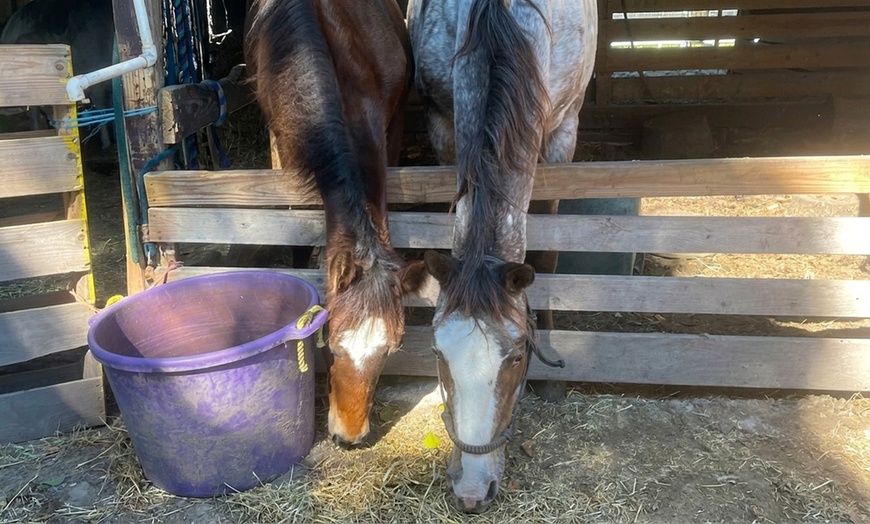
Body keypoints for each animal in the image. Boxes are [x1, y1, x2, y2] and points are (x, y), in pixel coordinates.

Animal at [404, 0, 597, 512]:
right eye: (437, 352)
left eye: (516, 358)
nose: (472, 492)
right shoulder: (441, 122)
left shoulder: (563, 132)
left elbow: (548, 256)